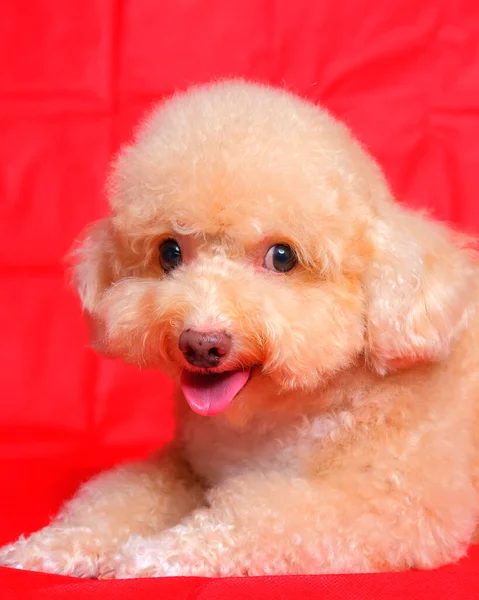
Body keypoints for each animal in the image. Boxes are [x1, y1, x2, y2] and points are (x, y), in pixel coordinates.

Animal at [0, 79, 479, 576]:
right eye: (169, 252)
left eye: (282, 256)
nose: (201, 343)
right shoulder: (187, 465)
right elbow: (121, 496)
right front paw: (54, 544)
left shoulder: (392, 500)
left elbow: (253, 521)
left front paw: (153, 554)